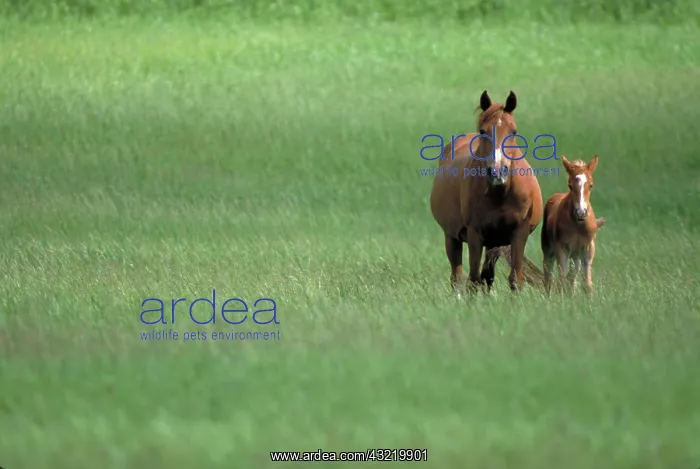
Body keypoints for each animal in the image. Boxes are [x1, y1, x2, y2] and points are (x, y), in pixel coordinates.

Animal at [429, 90, 543, 296]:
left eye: (513, 131)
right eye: (483, 131)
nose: (498, 171)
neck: (500, 195)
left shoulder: (518, 234)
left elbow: (514, 279)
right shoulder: (475, 234)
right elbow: (473, 281)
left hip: (493, 242)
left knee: (487, 276)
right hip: (452, 237)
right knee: (457, 276)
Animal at [541, 154, 600, 296]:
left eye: (591, 185)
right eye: (570, 186)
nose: (581, 212)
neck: (578, 225)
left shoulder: (588, 248)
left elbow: (586, 283)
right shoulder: (561, 248)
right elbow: (561, 279)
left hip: (575, 253)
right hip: (549, 249)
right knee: (548, 273)